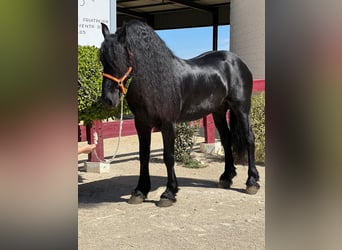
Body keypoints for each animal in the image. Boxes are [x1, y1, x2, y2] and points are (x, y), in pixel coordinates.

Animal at [100, 20, 260, 207]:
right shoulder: (141, 124)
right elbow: (144, 156)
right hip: (219, 111)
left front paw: (168, 193)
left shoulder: (168, 124)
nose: (108, 99)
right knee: (227, 140)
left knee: (249, 138)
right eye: (101, 58)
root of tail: (237, 61)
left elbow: (168, 157)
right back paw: (226, 177)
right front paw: (140, 191)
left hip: (242, 108)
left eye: (120, 58)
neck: (156, 81)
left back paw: (252, 182)